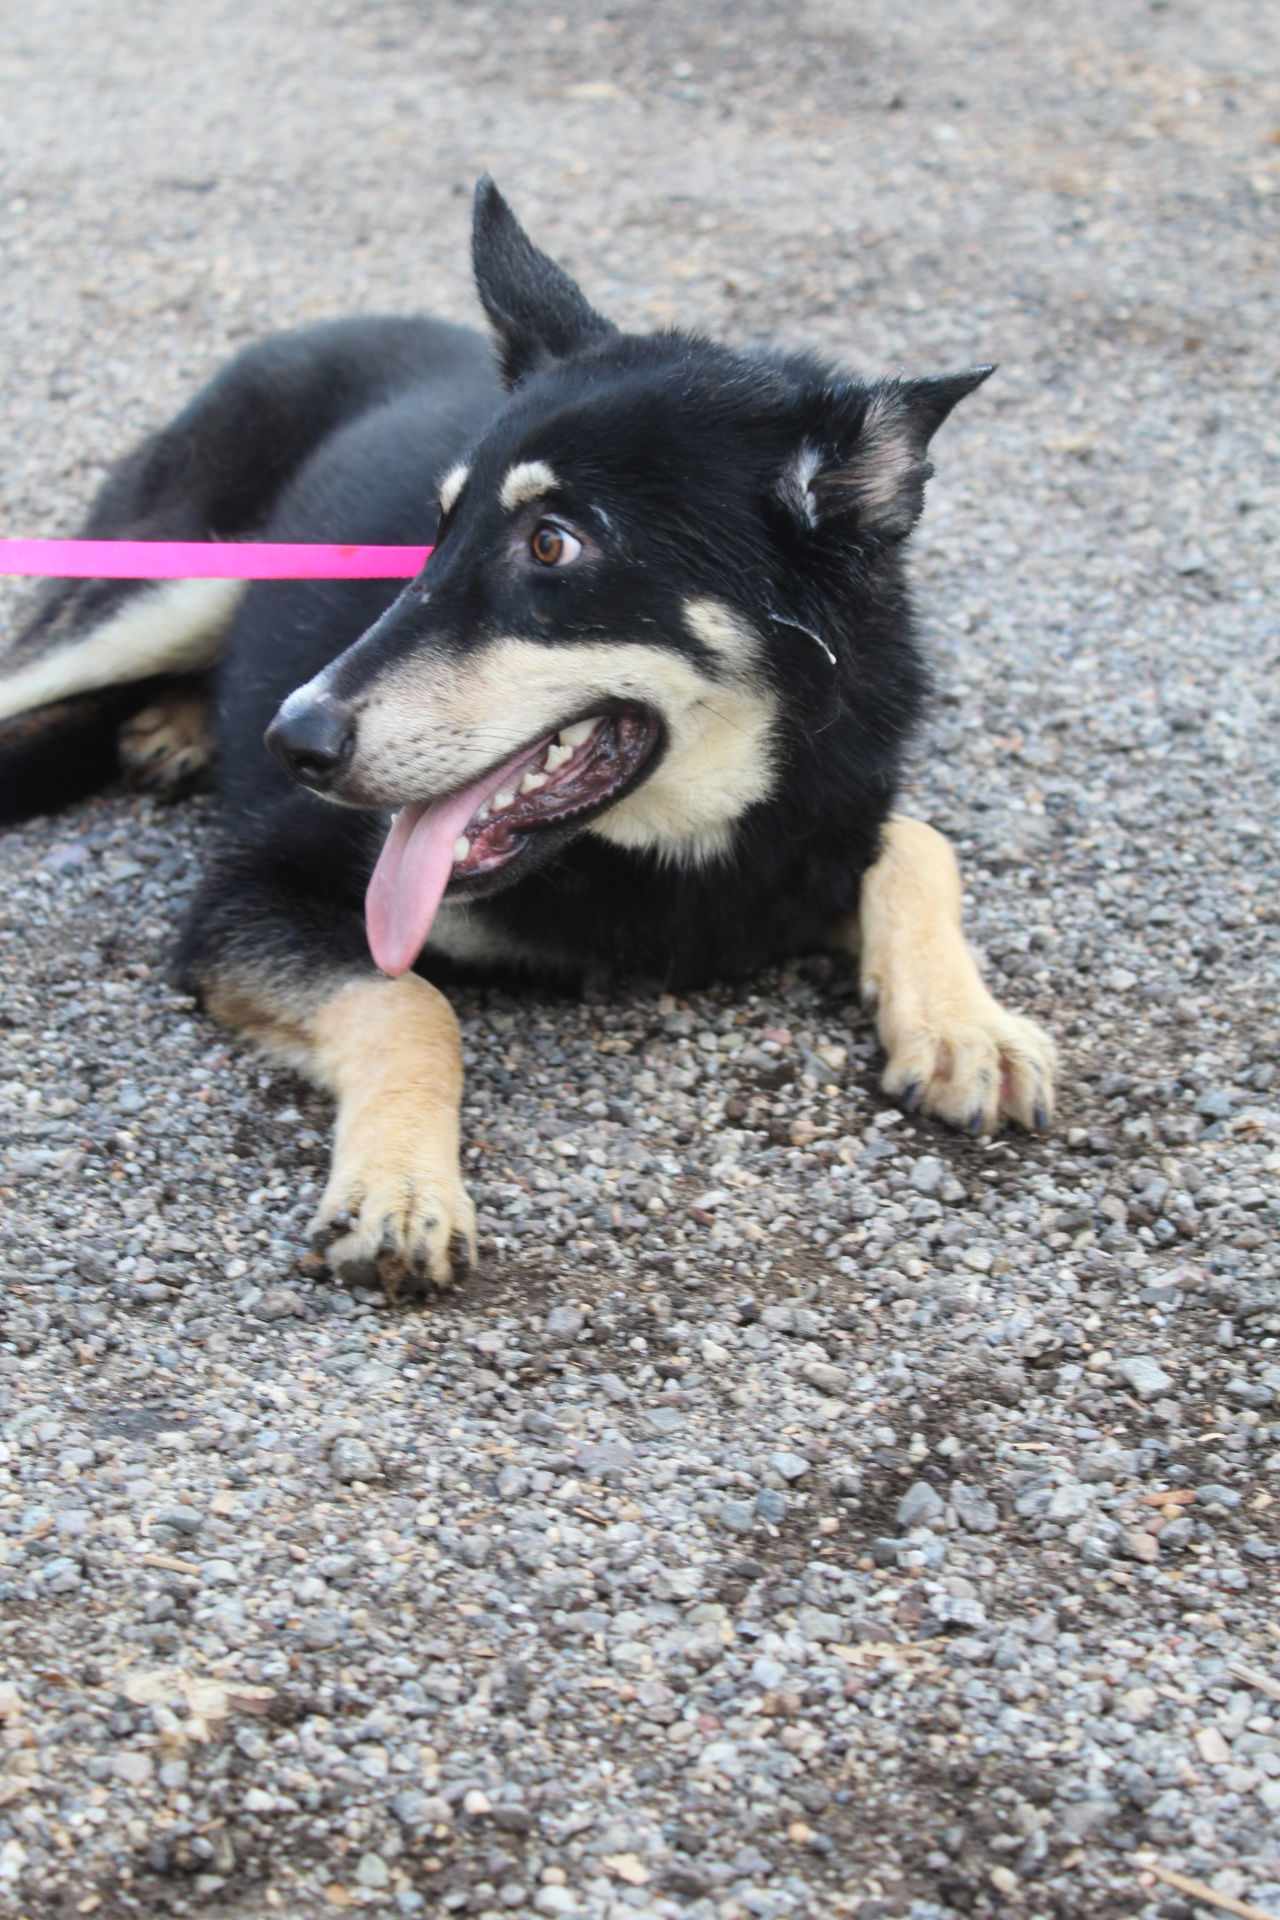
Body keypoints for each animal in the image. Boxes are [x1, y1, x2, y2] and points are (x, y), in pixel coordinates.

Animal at [0, 180, 1059, 1297]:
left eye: (552, 544)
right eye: (437, 530)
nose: (294, 743)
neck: (671, 843)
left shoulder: (817, 830)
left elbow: (917, 845)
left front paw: (965, 1026)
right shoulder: (250, 891)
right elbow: (412, 1003)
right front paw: (404, 1186)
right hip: (158, 580)